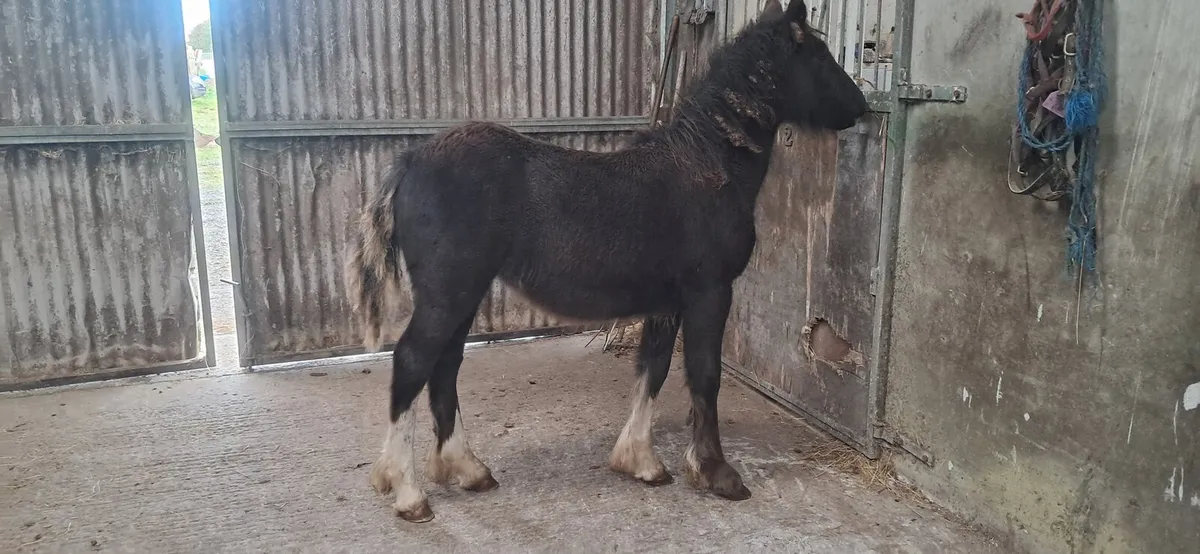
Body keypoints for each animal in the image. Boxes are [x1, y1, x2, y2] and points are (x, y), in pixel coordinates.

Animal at [346, 0, 868, 522]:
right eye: (819, 56)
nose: (860, 107)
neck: (708, 166)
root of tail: (411, 159)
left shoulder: (666, 303)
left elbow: (653, 370)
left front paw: (642, 462)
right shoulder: (710, 294)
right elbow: (704, 375)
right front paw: (717, 473)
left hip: (463, 296)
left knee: (445, 366)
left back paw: (467, 470)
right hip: (448, 293)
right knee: (413, 361)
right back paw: (408, 492)